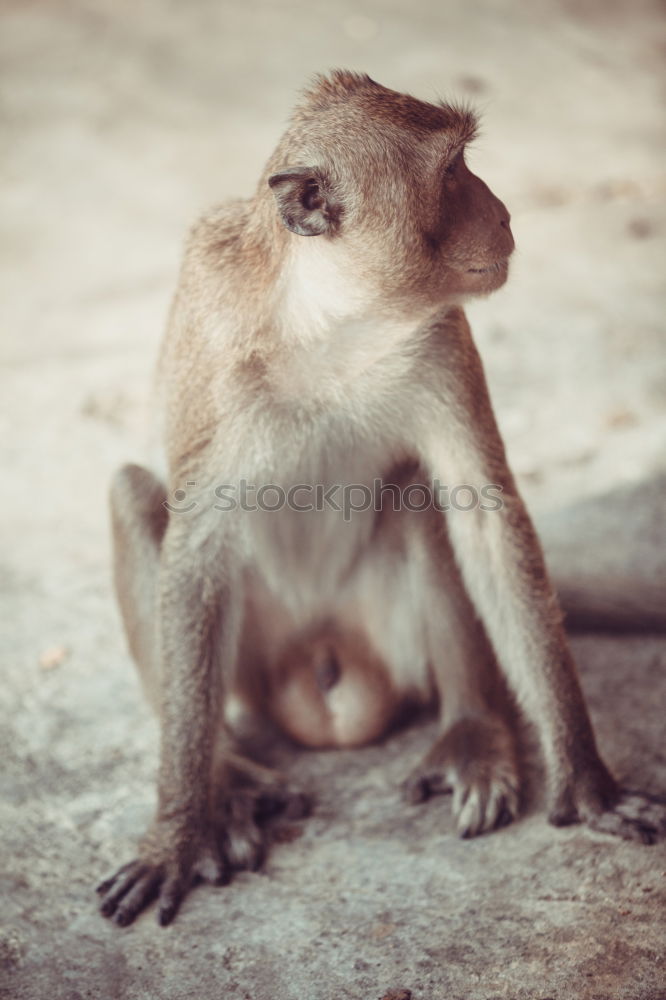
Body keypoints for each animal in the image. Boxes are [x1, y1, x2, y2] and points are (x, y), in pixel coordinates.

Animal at [98, 70, 664, 928]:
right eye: (454, 172)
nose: (503, 212)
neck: (326, 324)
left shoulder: (439, 337)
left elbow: (484, 514)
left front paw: (589, 782)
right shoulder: (215, 335)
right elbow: (195, 553)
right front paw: (181, 828)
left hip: (387, 638)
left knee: (420, 493)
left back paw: (473, 733)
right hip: (254, 663)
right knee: (135, 495)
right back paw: (229, 775)